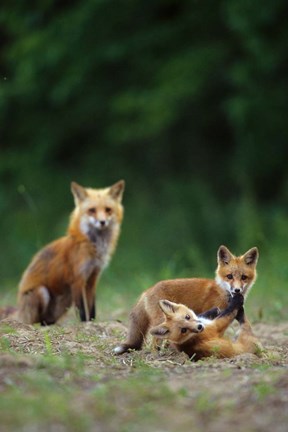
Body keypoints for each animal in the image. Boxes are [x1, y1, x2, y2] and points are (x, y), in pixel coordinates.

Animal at [15, 179, 124, 324]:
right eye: (92, 210)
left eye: (108, 210)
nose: (102, 222)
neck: (93, 246)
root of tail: (19, 311)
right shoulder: (77, 279)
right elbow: (82, 310)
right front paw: (85, 324)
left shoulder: (92, 278)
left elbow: (92, 308)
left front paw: (93, 323)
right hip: (43, 292)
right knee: (36, 320)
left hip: (66, 300)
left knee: (47, 320)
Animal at [113, 246, 258, 354]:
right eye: (229, 276)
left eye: (244, 277)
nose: (237, 290)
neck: (223, 292)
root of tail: (147, 291)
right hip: (160, 320)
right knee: (155, 341)